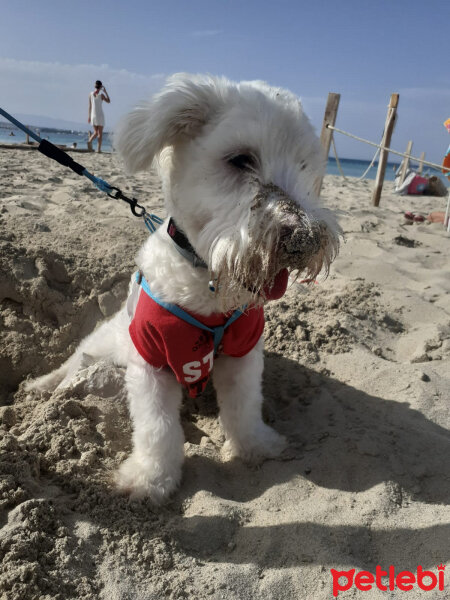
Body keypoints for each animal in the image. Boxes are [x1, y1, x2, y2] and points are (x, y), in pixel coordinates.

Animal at [27, 76, 338, 506]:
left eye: (306, 166)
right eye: (240, 160)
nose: (304, 239)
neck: (208, 288)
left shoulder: (243, 353)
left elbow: (245, 405)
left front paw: (255, 446)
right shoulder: (150, 362)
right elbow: (157, 427)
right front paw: (151, 479)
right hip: (102, 343)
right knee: (72, 363)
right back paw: (41, 386)